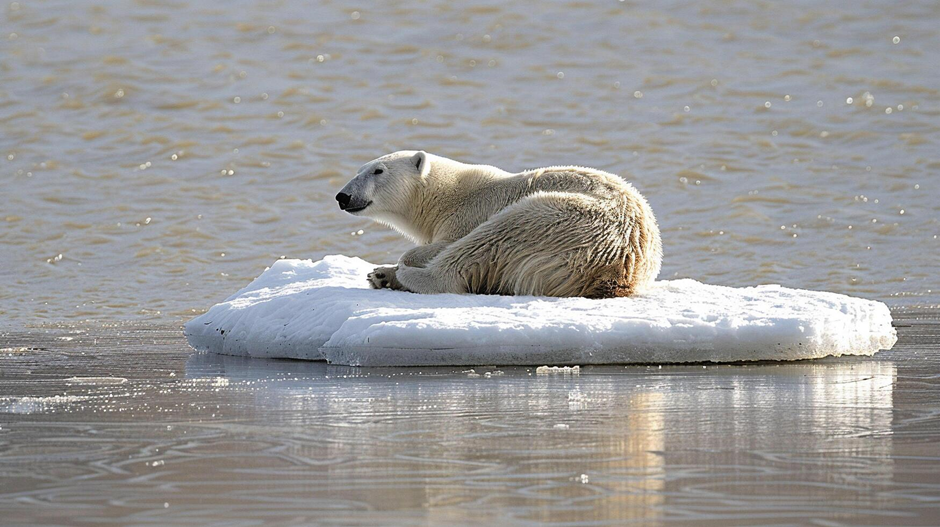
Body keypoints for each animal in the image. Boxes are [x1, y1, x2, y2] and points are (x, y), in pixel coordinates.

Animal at [335, 151, 662, 298]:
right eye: (360, 169)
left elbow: (443, 244)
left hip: (560, 219)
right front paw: (379, 272)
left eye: (378, 170)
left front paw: (406, 261)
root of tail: (617, 270)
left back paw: (407, 275)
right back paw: (383, 276)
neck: (447, 195)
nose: (342, 196)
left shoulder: (470, 212)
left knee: (490, 239)